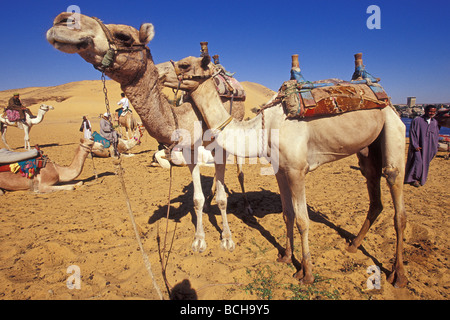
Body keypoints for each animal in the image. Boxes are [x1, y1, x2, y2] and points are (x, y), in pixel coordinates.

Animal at [47, 13, 251, 252]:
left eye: (124, 36)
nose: (62, 21)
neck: (188, 115)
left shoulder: (219, 148)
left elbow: (223, 198)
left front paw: (227, 238)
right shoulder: (190, 151)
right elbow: (197, 199)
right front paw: (199, 239)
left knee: (239, 172)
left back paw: (247, 206)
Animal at [161, 53, 408, 288]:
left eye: (184, 64)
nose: (160, 72)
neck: (261, 129)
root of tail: (388, 100)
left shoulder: (297, 170)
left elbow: (302, 220)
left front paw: (307, 273)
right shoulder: (280, 170)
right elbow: (287, 214)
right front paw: (287, 257)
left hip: (393, 129)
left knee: (397, 199)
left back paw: (398, 275)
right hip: (368, 150)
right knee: (374, 195)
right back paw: (353, 245)